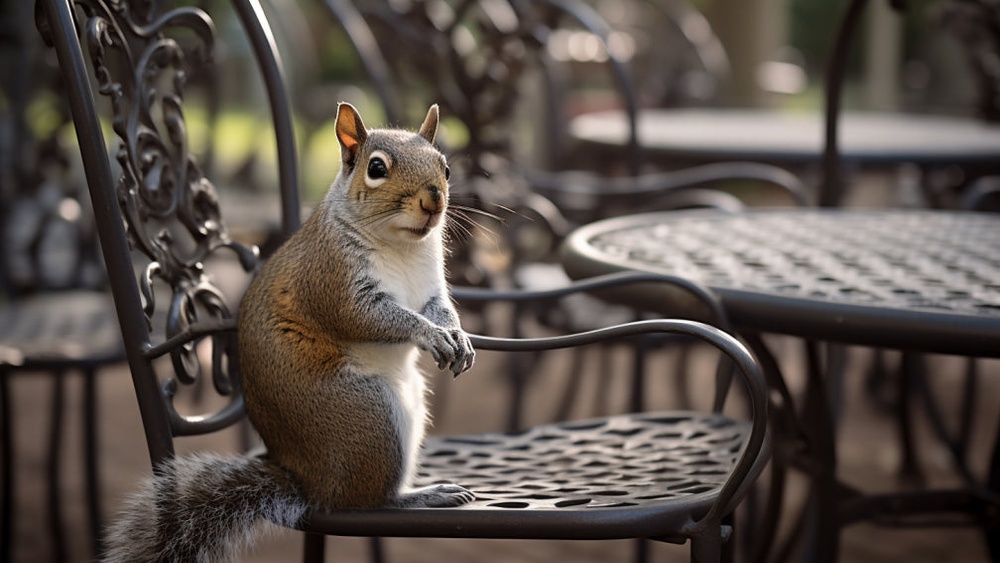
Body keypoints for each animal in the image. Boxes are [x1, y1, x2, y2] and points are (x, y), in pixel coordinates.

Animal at [103, 103, 477, 562]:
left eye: (445, 166)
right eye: (376, 168)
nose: (433, 201)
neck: (402, 246)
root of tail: (307, 482)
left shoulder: (430, 286)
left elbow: (439, 309)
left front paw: (457, 335)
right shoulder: (331, 280)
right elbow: (371, 319)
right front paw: (429, 335)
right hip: (369, 417)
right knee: (363, 500)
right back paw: (422, 495)